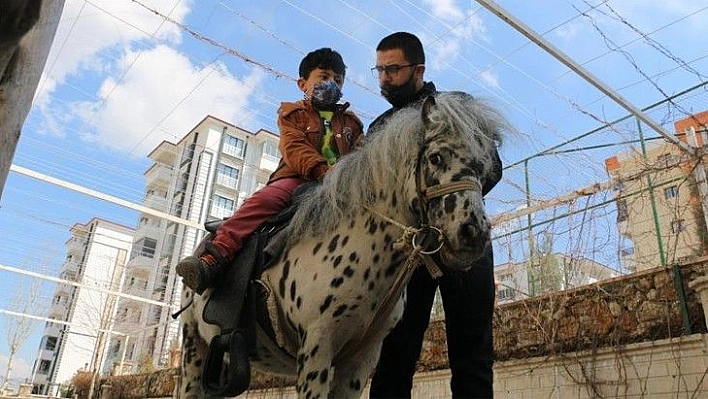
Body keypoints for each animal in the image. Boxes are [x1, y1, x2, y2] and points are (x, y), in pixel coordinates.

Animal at [180, 92, 506, 398]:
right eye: (436, 158)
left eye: (484, 168)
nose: (473, 234)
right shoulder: (317, 347)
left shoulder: (361, 359)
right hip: (193, 351)